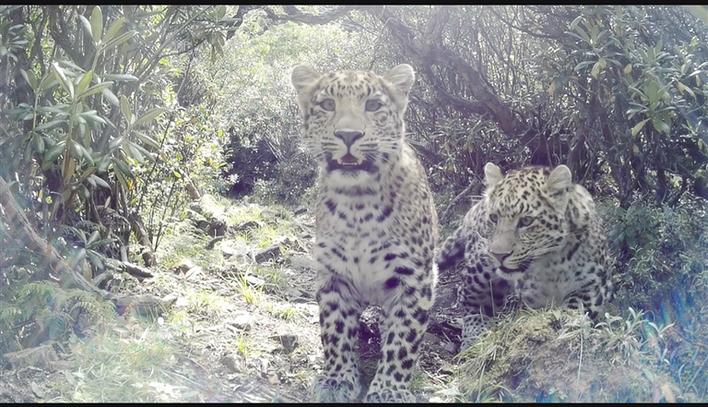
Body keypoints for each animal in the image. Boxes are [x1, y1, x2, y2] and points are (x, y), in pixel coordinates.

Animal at [291, 63, 438, 402]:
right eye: (327, 105)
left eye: (372, 105)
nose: (348, 134)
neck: (358, 204)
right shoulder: (333, 276)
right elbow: (335, 330)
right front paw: (336, 380)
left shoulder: (414, 279)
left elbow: (403, 339)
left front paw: (389, 390)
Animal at [436, 162, 613, 350]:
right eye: (494, 218)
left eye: (526, 221)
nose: (499, 255)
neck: (553, 263)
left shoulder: (592, 285)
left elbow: (576, 308)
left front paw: (566, 325)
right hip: (481, 263)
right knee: (472, 298)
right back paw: (475, 336)